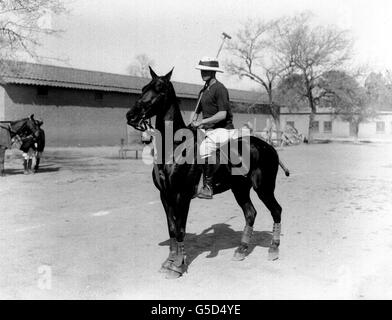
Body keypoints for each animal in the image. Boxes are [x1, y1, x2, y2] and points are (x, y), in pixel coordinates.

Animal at [127, 67, 284, 278]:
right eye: (144, 88)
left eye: (159, 89)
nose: (131, 116)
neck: (173, 146)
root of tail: (270, 147)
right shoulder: (165, 195)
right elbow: (171, 229)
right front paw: (168, 262)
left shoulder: (182, 196)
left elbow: (180, 230)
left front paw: (178, 266)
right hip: (240, 189)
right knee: (251, 213)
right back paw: (241, 250)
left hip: (264, 187)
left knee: (276, 210)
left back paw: (273, 249)